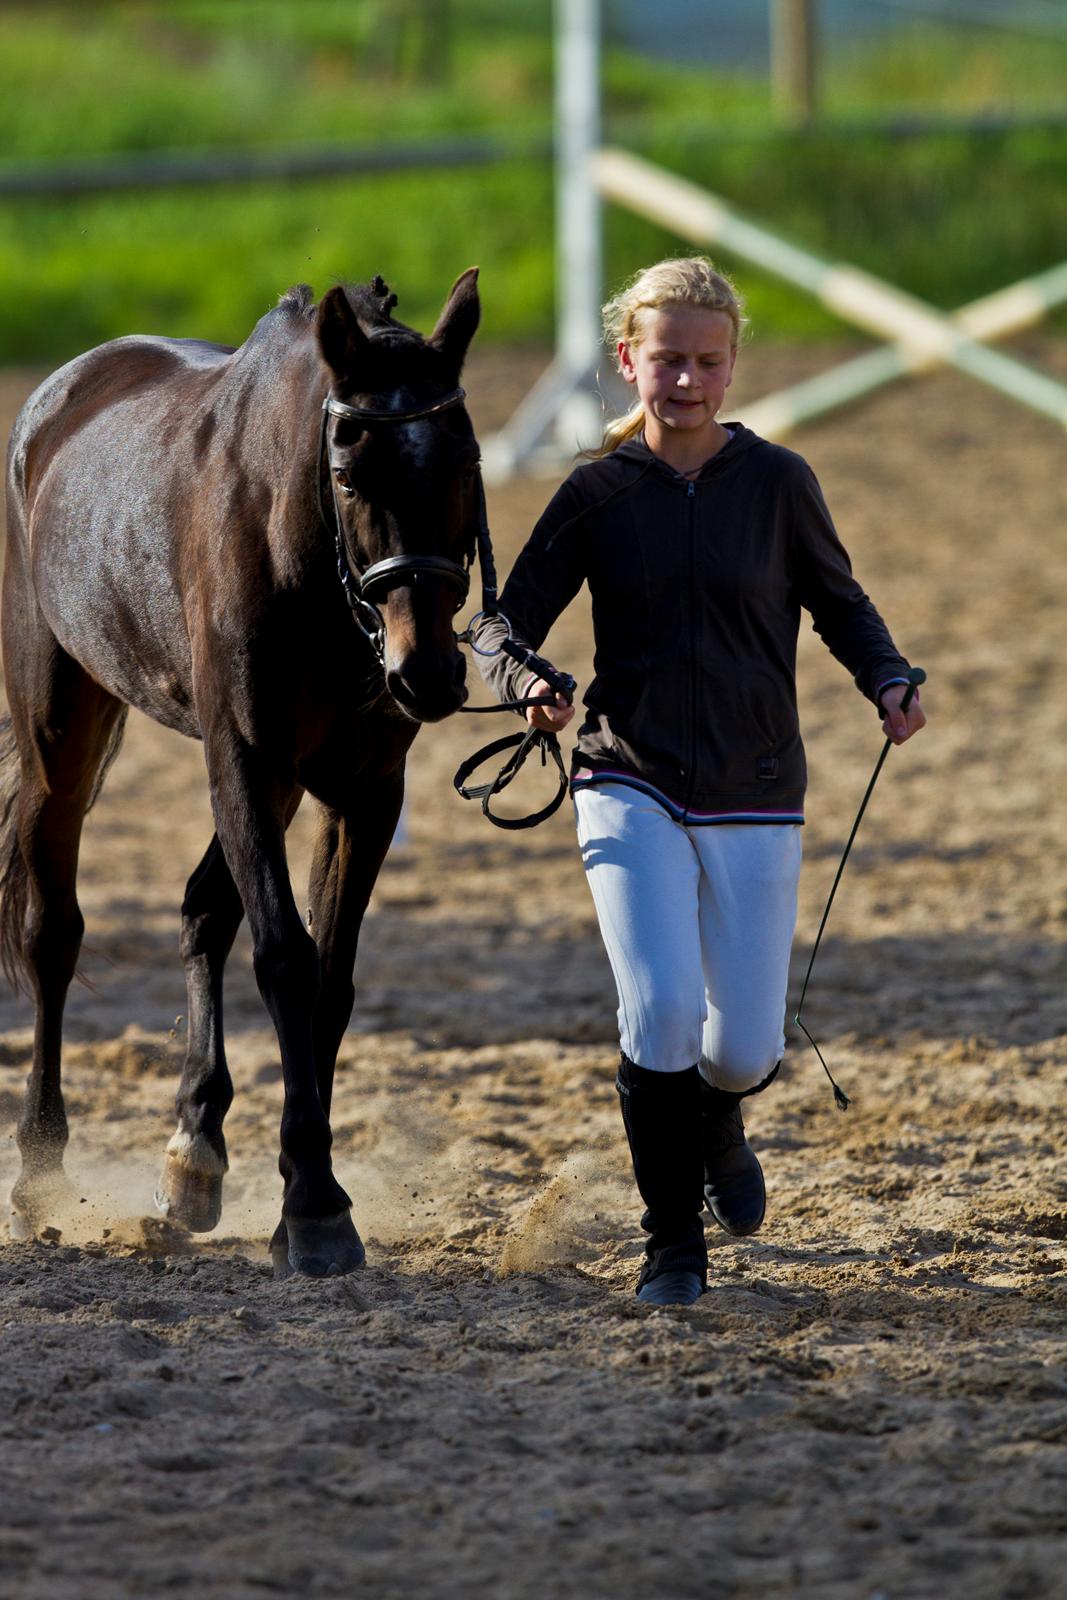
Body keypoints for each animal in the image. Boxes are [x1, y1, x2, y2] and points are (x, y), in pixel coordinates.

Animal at [1, 268, 483, 1280]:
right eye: (348, 473)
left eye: (465, 461)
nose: (425, 674)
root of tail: (58, 395)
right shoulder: (242, 758)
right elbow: (285, 959)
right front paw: (314, 1208)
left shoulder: (362, 792)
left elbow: (330, 979)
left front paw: (298, 1184)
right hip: (62, 734)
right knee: (52, 932)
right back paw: (40, 1172)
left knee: (201, 910)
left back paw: (194, 1148)